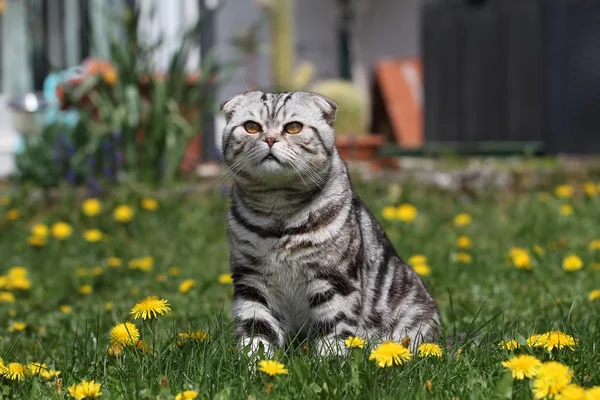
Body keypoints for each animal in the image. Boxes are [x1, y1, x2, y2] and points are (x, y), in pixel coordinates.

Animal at [220, 91, 440, 356]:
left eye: (293, 127)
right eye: (252, 127)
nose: (270, 139)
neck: (278, 210)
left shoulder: (335, 280)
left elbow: (334, 330)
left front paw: (330, 361)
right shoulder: (251, 280)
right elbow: (256, 331)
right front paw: (254, 363)